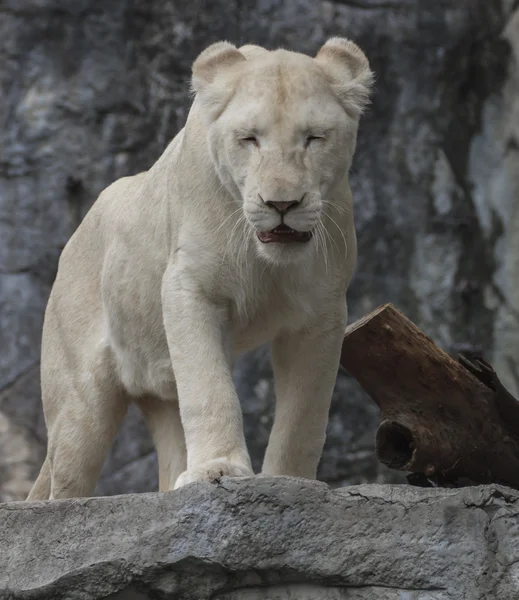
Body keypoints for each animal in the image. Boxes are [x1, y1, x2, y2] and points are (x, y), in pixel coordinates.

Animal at [27, 36, 374, 496]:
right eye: (249, 139)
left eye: (315, 138)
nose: (282, 204)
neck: (264, 259)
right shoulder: (190, 286)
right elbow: (209, 384)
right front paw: (218, 469)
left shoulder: (321, 309)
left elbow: (305, 411)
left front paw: (291, 481)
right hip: (79, 402)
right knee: (64, 481)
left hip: (158, 388)